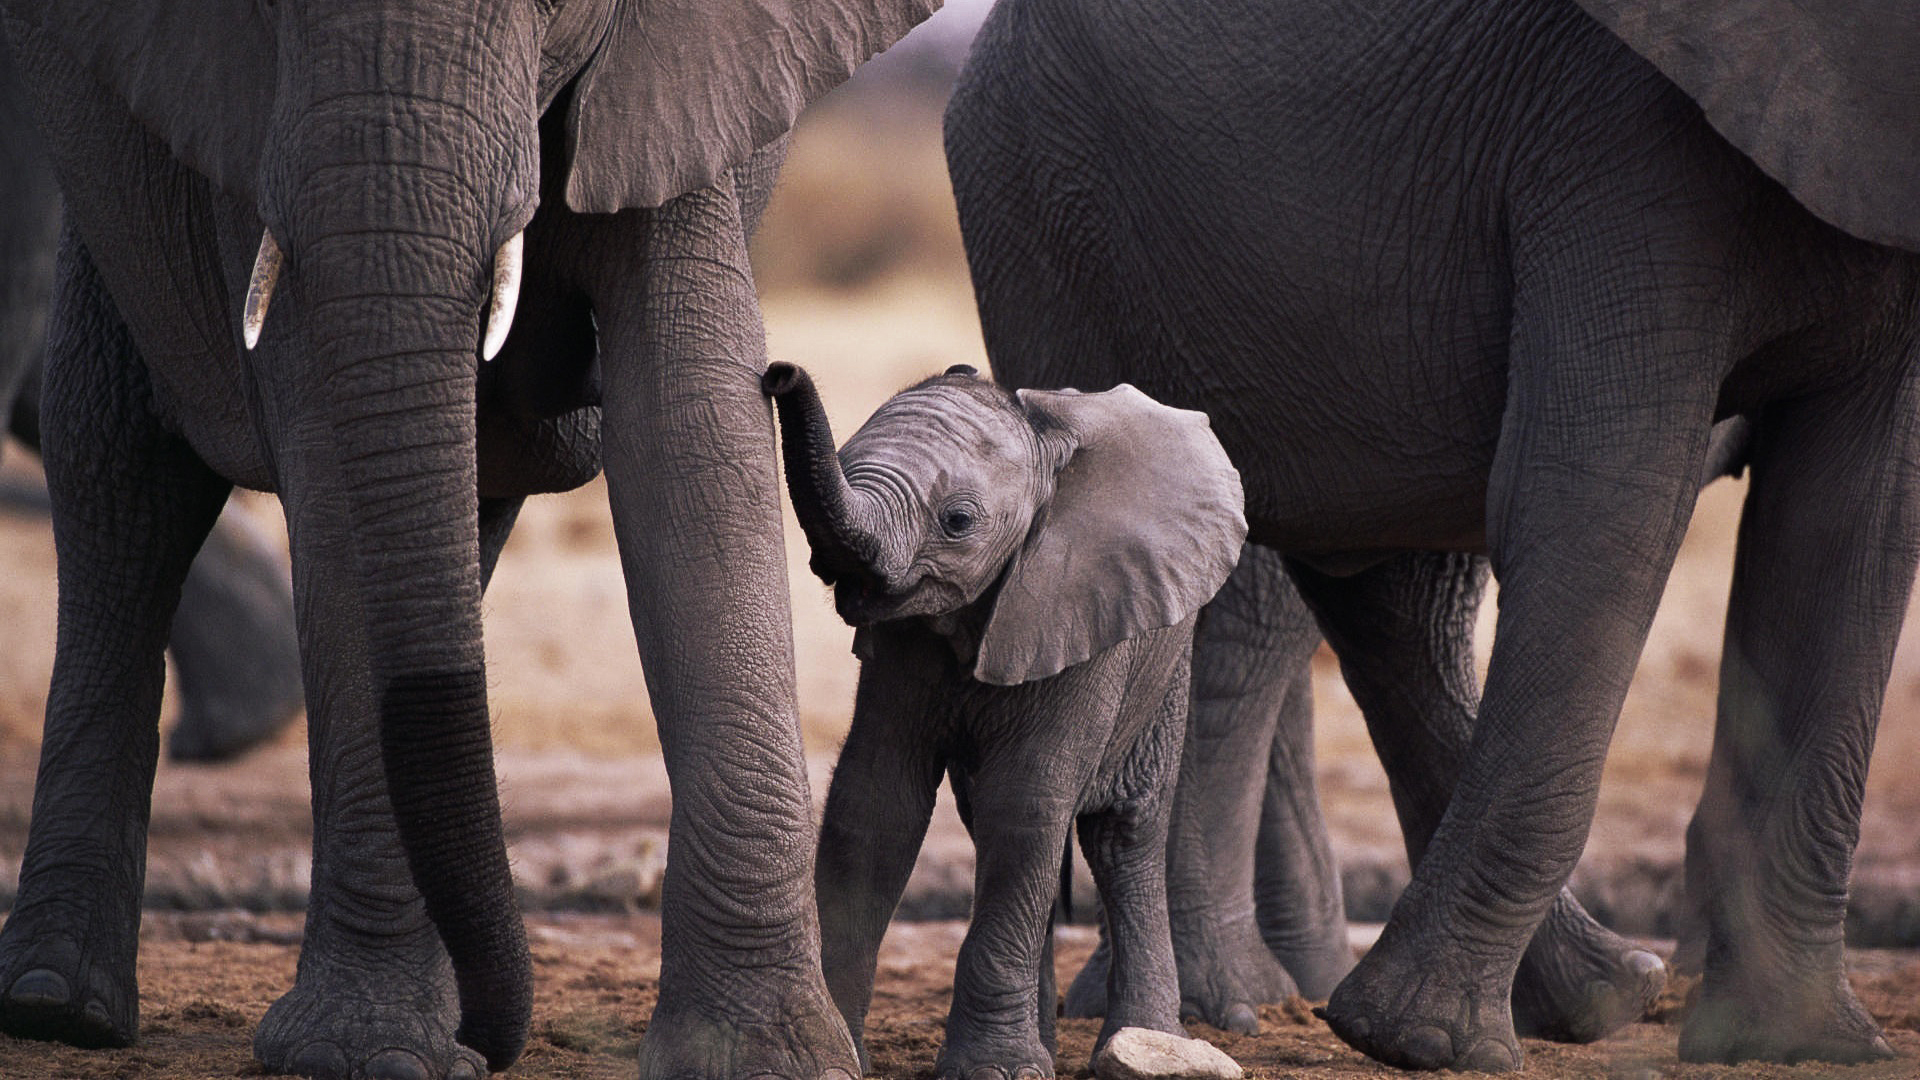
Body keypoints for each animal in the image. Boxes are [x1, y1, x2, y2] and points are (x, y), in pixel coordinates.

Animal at [764, 363, 1244, 1076]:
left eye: (958, 521)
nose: (779, 373)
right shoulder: (902, 645)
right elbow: (874, 807)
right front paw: (843, 1054)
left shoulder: (1079, 609)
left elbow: (1025, 804)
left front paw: (995, 1070)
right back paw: (1044, 1045)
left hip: (1164, 661)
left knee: (1121, 833)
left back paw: (1145, 1041)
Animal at [948, 0, 1920, 1060]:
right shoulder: (1617, 143)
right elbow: (1600, 504)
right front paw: (1418, 1043)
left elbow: (1850, 536)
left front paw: (1793, 1042)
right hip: (1050, 212)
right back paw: (1230, 1011)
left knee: (1383, 590)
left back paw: (1603, 993)